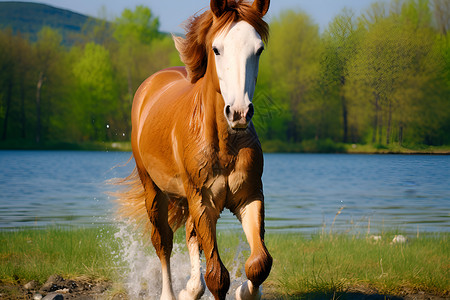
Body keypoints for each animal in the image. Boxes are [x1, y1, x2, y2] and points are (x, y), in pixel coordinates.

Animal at [117, 1, 270, 298]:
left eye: (258, 49)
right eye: (217, 48)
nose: (239, 113)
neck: (224, 145)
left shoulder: (249, 196)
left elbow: (259, 263)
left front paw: (245, 291)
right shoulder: (203, 201)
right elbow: (217, 277)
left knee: (190, 235)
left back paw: (190, 289)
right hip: (153, 189)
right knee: (163, 241)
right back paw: (170, 293)